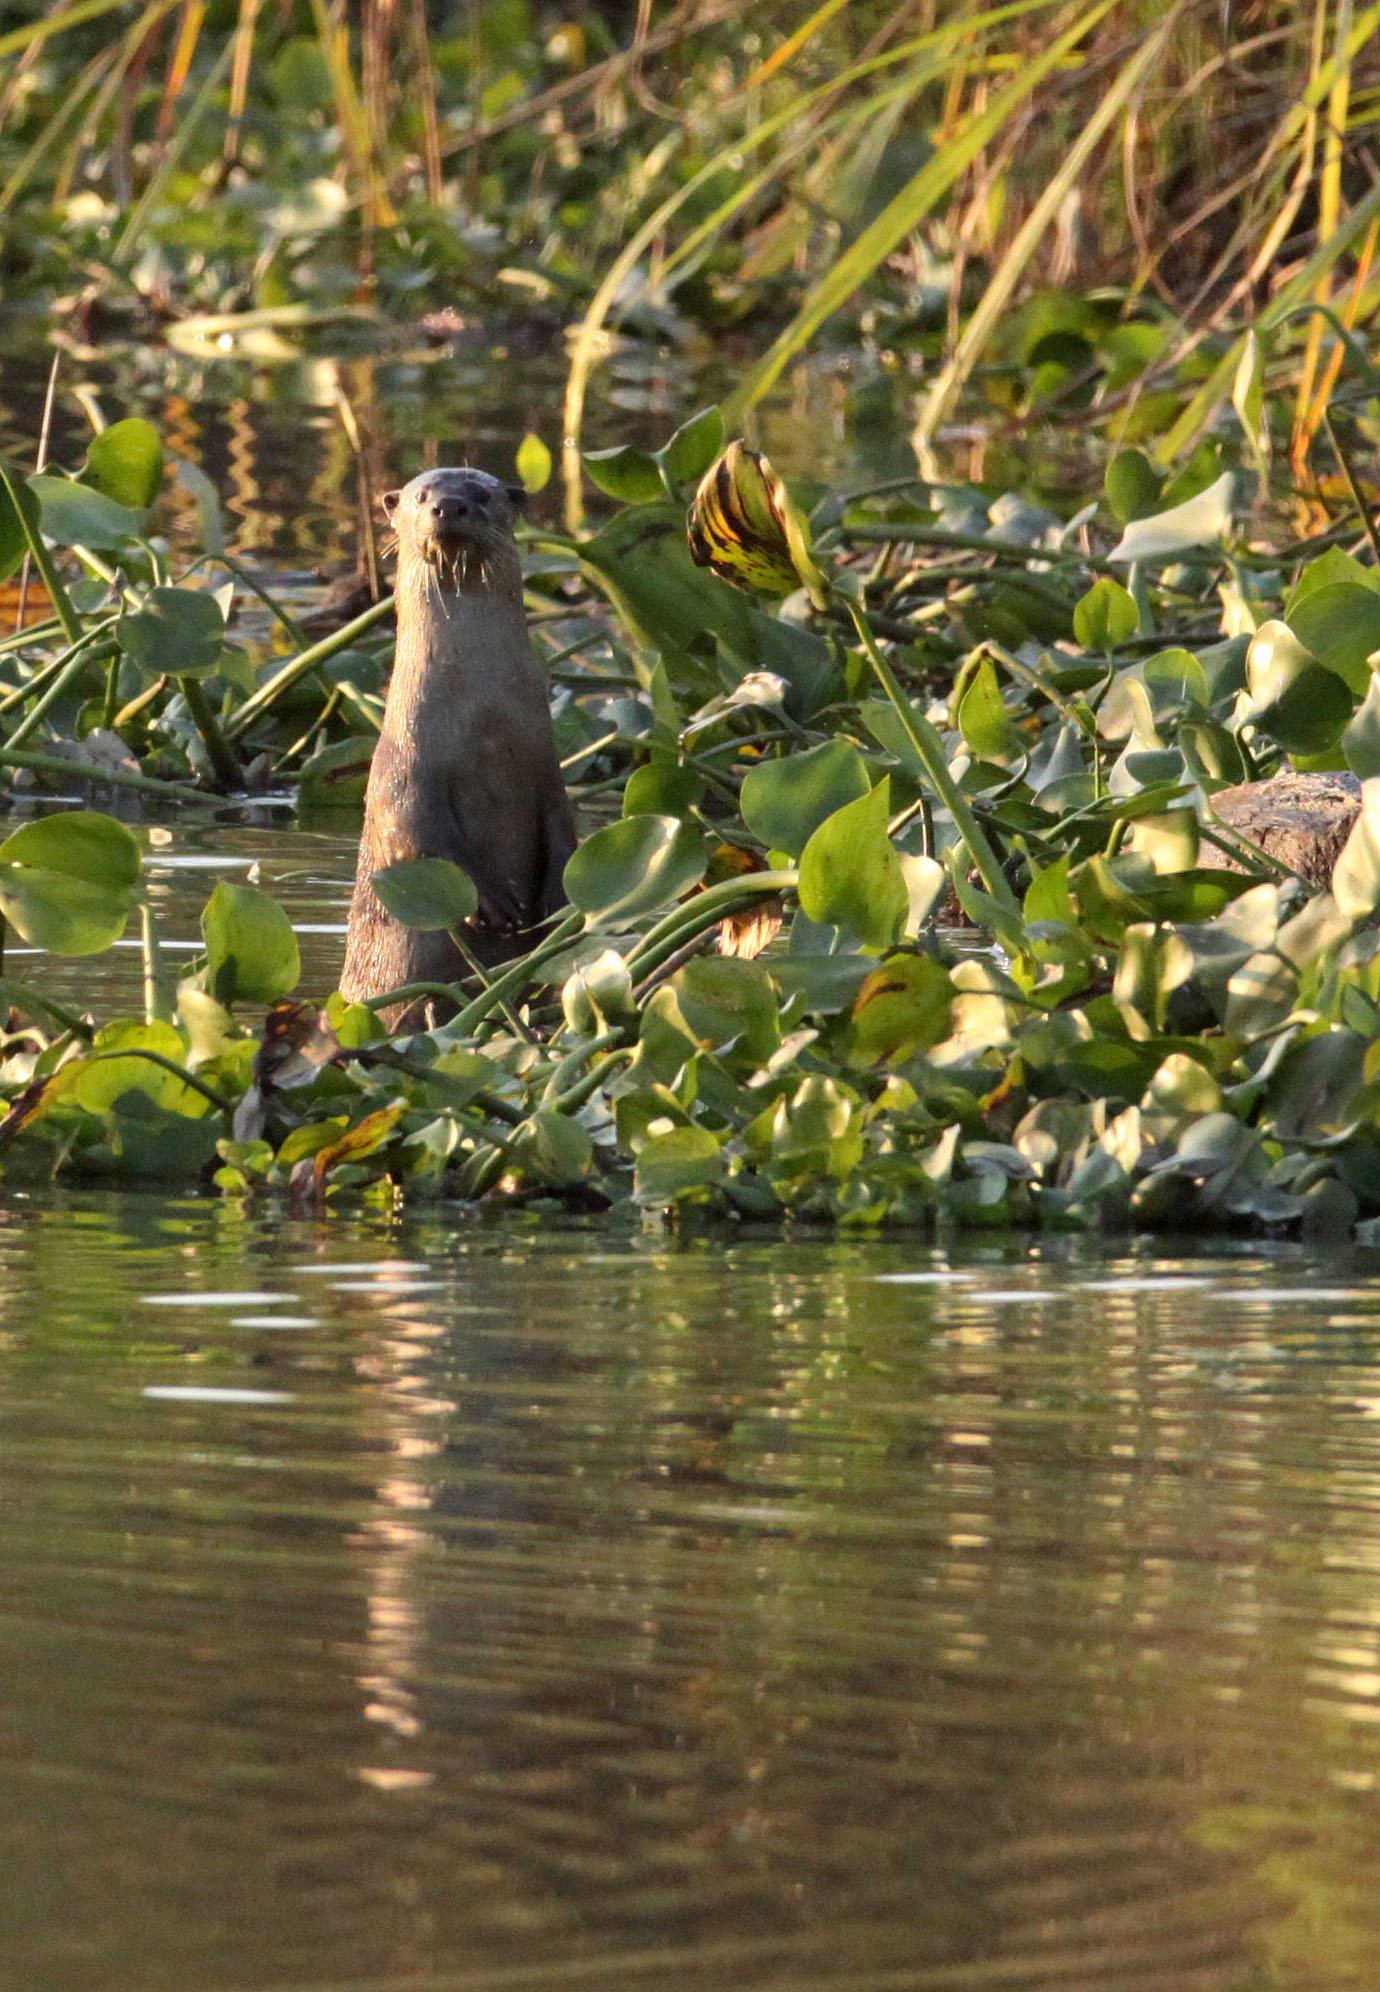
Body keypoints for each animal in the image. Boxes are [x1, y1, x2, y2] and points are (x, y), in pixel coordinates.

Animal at [339, 467, 577, 1026]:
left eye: (482, 494)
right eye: (420, 495)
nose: (448, 505)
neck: (481, 719)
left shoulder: (547, 768)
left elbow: (564, 832)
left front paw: (554, 906)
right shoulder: (404, 769)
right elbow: (419, 830)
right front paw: (494, 903)